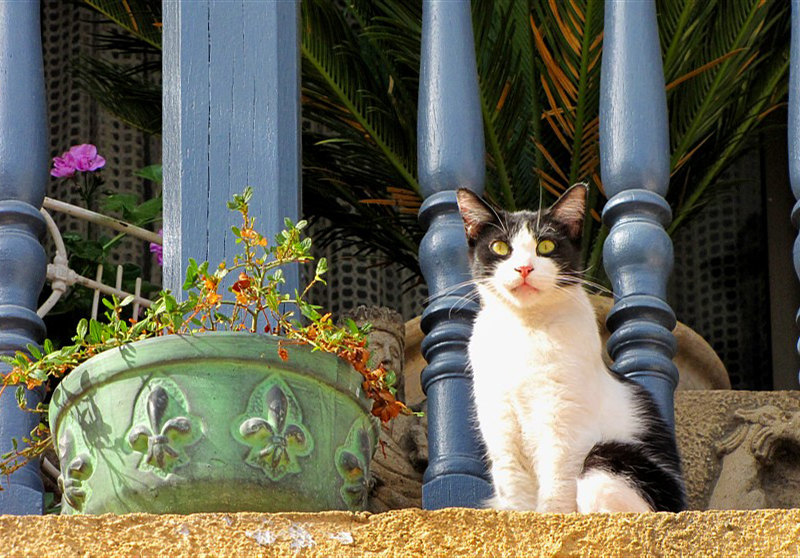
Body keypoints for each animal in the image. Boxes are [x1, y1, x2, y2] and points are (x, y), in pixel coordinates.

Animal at [460, 186, 684, 516]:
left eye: (546, 245)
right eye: (500, 247)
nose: (524, 268)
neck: (526, 330)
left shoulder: (564, 422)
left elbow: (558, 482)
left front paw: (551, 517)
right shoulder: (500, 423)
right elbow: (513, 487)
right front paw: (517, 518)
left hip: (609, 460)